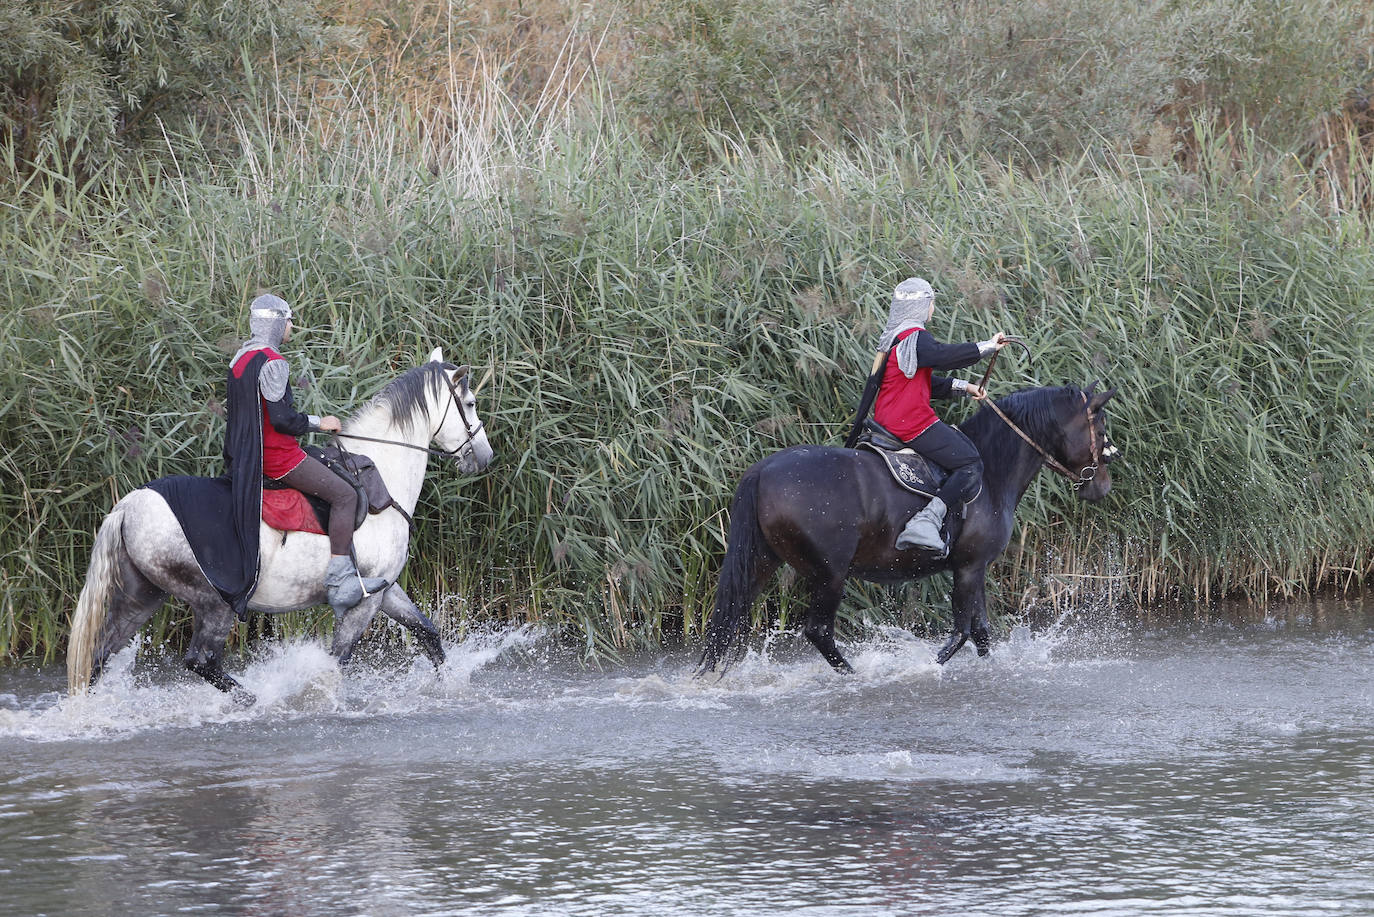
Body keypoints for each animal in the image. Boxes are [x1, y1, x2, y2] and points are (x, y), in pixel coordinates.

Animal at [66, 347, 494, 698]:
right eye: (470, 403)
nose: (485, 456)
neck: (382, 478)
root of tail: (129, 505)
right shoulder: (364, 601)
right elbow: (336, 664)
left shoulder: (384, 588)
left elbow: (428, 633)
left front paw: (451, 689)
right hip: (213, 601)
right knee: (201, 661)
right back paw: (257, 702)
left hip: (142, 594)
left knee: (99, 657)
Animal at [697, 382, 1115, 673]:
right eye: (1099, 424)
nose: (1102, 484)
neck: (992, 472)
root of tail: (763, 470)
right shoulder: (969, 568)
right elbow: (962, 633)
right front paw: (924, 668)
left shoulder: (974, 568)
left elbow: (980, 631)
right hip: (830, 574)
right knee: (819, 632)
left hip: (761, 562)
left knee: (728, 622)